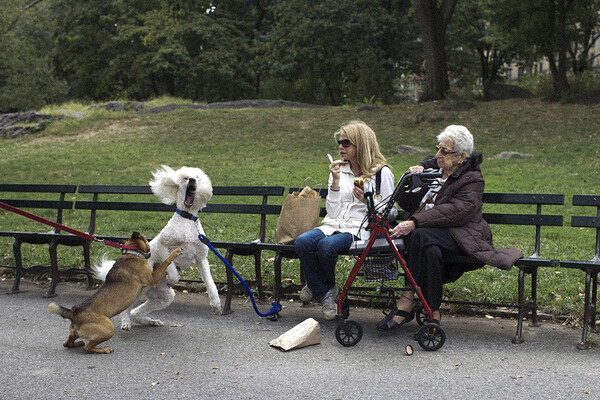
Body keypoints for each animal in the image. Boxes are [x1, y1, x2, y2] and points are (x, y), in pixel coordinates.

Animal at [47, 231, 180, 354]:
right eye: (145, 239)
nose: (149, 240)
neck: (132, 253)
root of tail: (73, 313)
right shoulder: (153, 279)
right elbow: (165, 262)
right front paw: (174, 252)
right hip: (108, 327)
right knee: (87, 347)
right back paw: (104, 349)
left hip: (75, 333)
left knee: (67, 343)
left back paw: (78, 342)